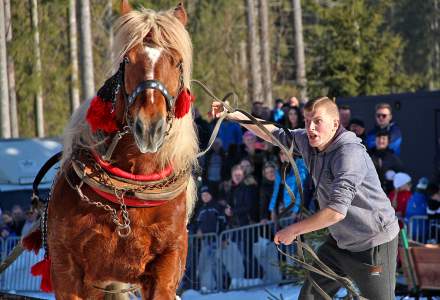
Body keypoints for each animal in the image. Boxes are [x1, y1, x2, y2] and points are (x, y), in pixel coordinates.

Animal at [44, 1, 198, 298]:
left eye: (176, 62)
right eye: (127, 60)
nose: (149, 126)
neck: (128, 191)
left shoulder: (168, 263)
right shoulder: (66, 269)